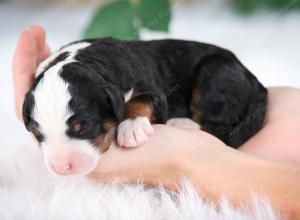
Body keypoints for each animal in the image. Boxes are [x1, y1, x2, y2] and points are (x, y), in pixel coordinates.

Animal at [22, 37, 268, 175]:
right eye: (37, 135)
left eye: (83, 128)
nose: (61, 167)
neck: (85, 57)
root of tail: (257, 84)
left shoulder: (152, 89)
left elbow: (140, 100)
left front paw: (132, 126)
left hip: (217, 73)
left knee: (220, 127)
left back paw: (183, 124)